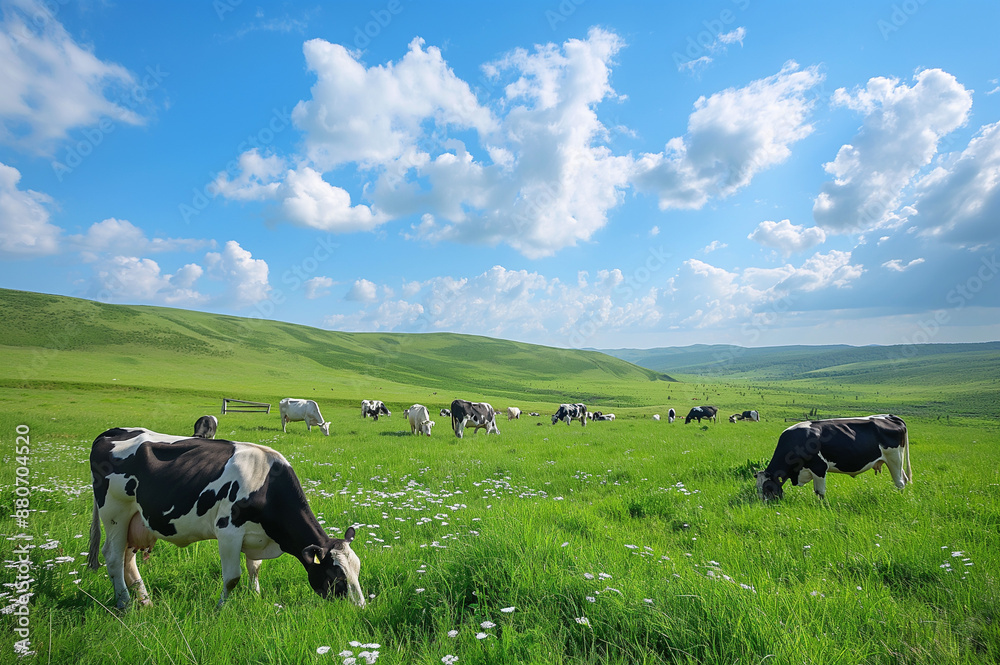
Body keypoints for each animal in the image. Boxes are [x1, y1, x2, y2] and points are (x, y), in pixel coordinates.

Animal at [88, 428, 366, 608]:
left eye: (358, 570)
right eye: (336, 576)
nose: (360, 607)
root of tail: (112, 432)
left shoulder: (254, 536)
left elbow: (255, 568)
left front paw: (255, 597)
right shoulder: (228, 532)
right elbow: (232, 577)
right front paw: (221, 607)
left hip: (135, 521)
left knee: (127, 559)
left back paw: (145, 601)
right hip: (115, 513)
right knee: (113, 557)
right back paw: (125, 603)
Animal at [756, 412, 916, 500]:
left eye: (768, 488)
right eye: (757, 488)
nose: (764, 504)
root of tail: (890, 416)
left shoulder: (819, 467)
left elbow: (820, 492)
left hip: (894, 458)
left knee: (900, 483)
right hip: (895, 460)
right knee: (904, 479)